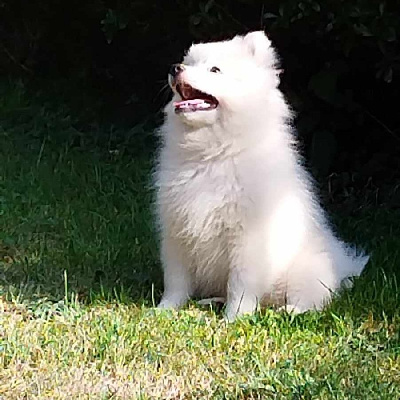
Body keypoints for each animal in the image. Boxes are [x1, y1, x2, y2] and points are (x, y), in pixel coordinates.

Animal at [155, 30, 368, 322]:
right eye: (188, 62)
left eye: (214, 70)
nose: (175, 68)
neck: (215, 155)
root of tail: (343, 264)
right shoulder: (177, 231)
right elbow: (176, 280)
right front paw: (164, 309)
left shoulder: (249, 240)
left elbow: (240, 284)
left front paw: (234, 318)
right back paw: (211, 300)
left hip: (309, 267)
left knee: (313, 297)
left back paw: (289, 310)